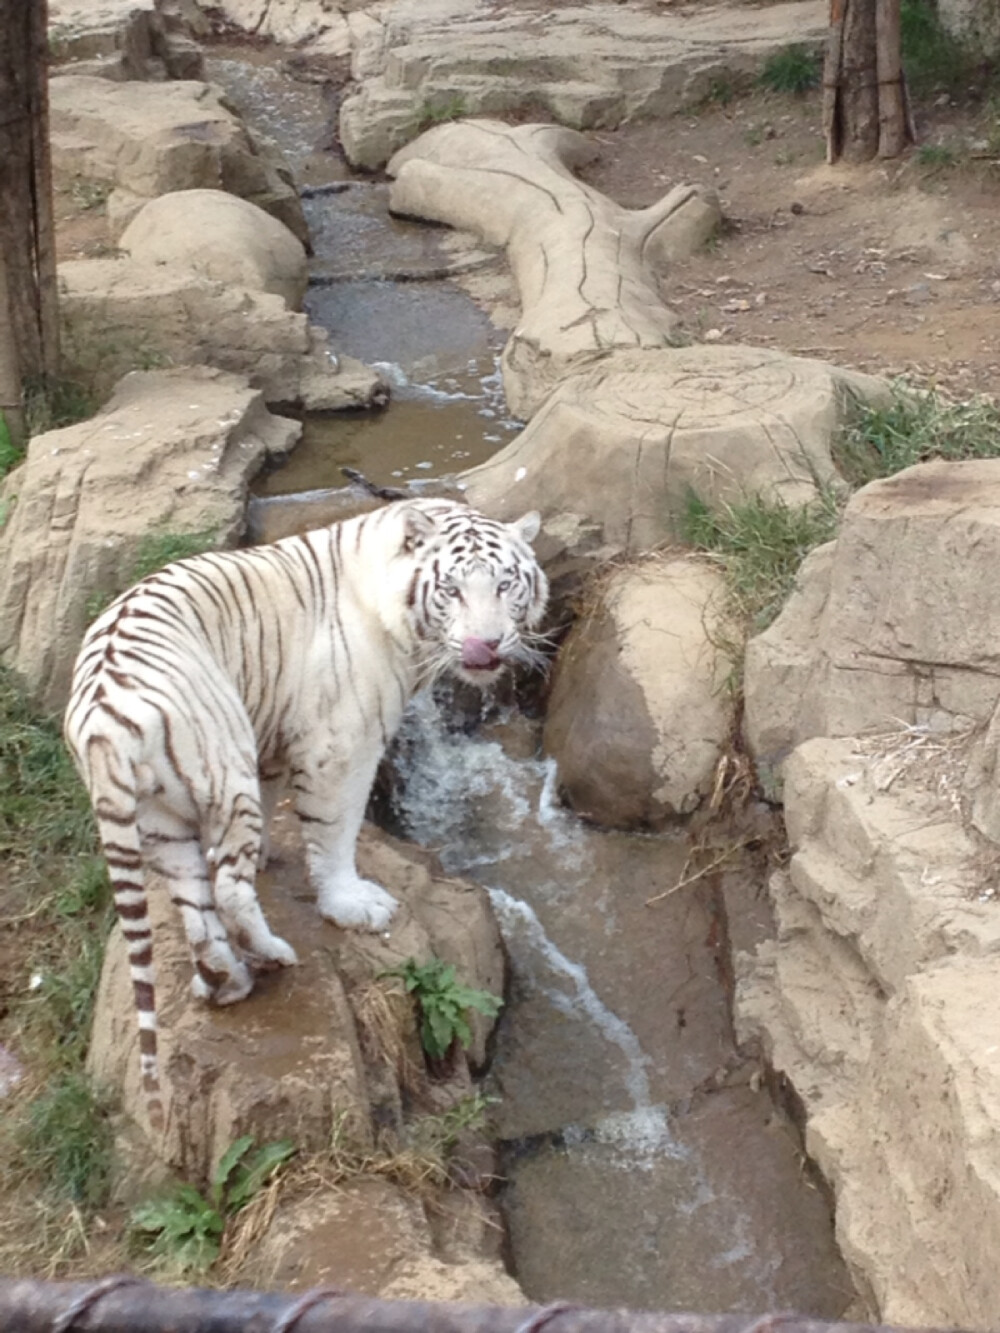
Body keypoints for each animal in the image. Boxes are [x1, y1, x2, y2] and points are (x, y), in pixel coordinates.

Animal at [64, 498, 549, 1125]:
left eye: (505, 584)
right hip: (226, 762)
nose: (486, 646)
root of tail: (103, 723)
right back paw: (273, 955)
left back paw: (226, 980)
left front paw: (270, 856)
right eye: (453, 590)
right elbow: (335, 832)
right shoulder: (340, 744)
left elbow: (274, 806)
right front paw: (352, 904)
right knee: (228, 891)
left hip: (160, 818)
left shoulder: (270, 733)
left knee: (195, 904)